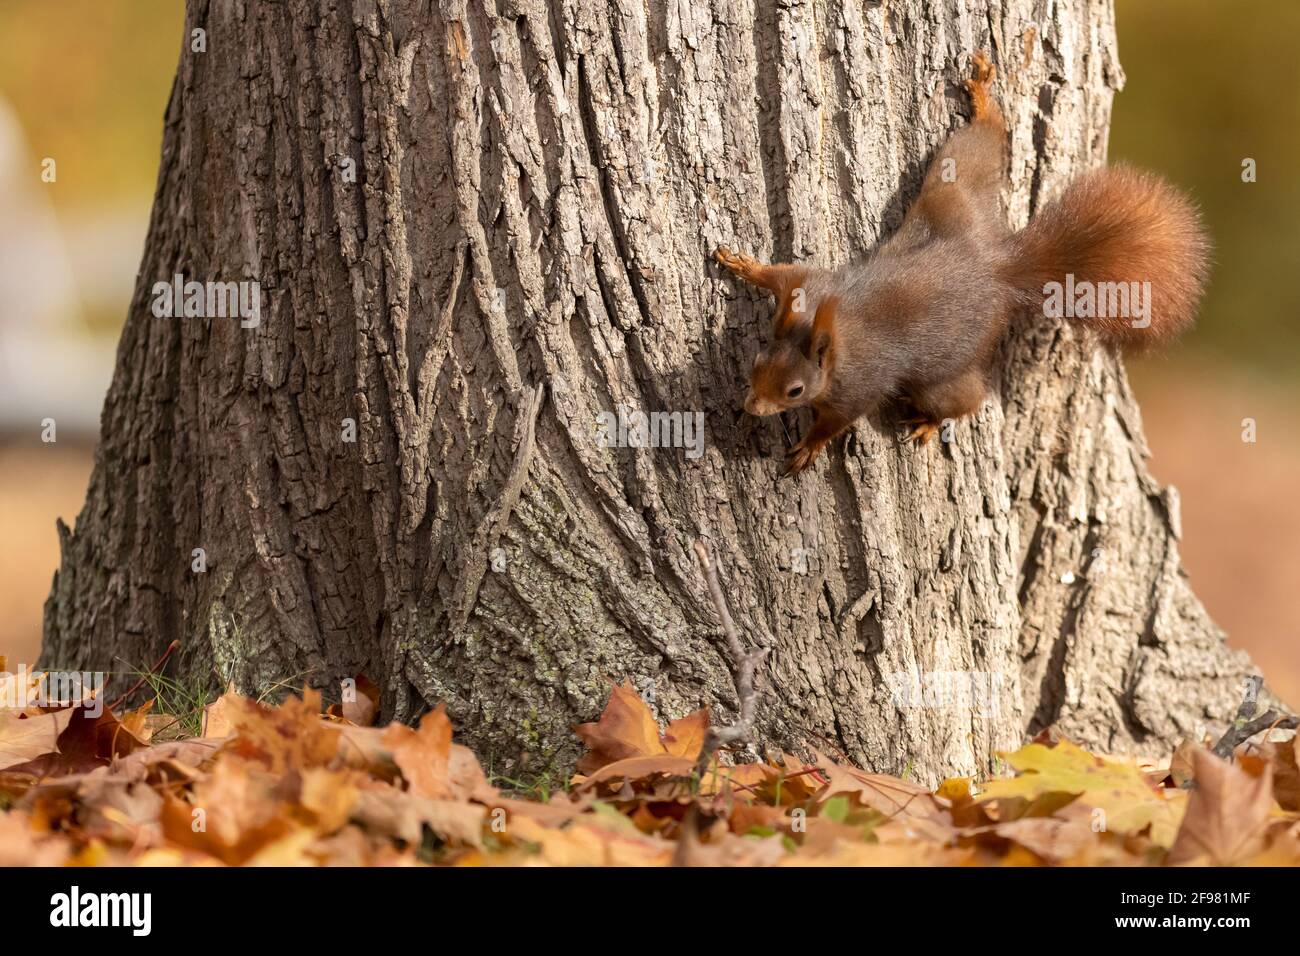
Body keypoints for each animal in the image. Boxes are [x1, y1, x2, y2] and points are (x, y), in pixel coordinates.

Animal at [712, 50, 1206, 476]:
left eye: (795, 391)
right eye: (757, 359)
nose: (752, 406)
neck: (828, 335)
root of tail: (998, 268)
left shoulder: (856, 387)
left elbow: (837, 421)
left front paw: (809, 447)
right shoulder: (808, 286)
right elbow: (784, 274)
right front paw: (742, 264)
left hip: (940, 374)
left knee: (968, 399)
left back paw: (931, 422)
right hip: (953, 192)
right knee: (980, 144)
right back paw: (984, 103)